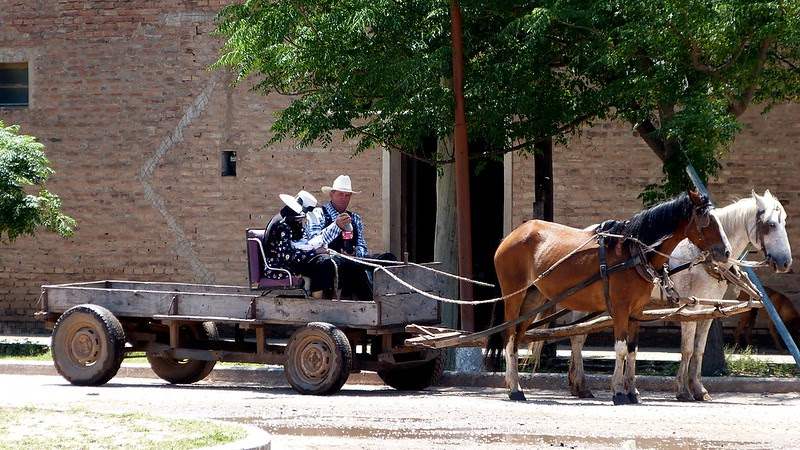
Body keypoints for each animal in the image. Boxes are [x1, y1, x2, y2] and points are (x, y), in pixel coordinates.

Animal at [490, 190, 728, 404]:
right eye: (707, 220)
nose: (726, 252)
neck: (633, 252)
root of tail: (513, 234)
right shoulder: (621, 309)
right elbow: (621, 349)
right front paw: (619, 392)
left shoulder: (636, 311)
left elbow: (632, 350)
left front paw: (632, 392)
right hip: (514, 296)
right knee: (509, 338)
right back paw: (515, 389)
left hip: (533, 300)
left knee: (518, 338)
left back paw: (516, 385)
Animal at [564, 190, 792, 400]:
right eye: (771, 224)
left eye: (784, 222)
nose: (785, 262)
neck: (702, 260)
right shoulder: (691, 308)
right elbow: (687, 349)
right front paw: (683, 390)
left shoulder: (708, 310)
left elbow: (699, 349)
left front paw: (699, 389)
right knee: (577, 337)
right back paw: (581, 385)